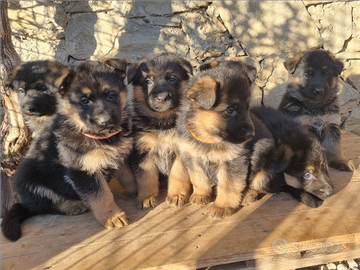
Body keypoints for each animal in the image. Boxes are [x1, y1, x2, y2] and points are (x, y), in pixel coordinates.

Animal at [126, 51, 194, 210]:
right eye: (148, 81)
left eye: (172, 78)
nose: (162, 98)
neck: (163, 122)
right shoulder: (143, 151)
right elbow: (146, 178)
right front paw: (146, 197)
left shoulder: (180, 151)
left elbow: (178, 174)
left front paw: (177, 194)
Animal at [169, 60, 282, 218]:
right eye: (230, 110)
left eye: (247, 108)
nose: (251, 135)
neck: (208, 137)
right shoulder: (192, 157)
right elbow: (198, 178)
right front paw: (201, 195)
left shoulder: (232, 160)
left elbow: (228, 185)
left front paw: (222, 206)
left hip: (265, 166)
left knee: (260, 184)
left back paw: (249, 194)